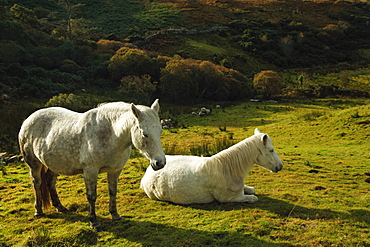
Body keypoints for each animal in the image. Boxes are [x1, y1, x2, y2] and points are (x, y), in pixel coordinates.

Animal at [18, 99, 166, 231]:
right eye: (144, 134)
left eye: (160, 131)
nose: (160, 163)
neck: (110, 134)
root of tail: (28, 120)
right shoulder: (90, 171)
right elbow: (91, 196)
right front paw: (94, 222)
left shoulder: (115, 170)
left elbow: (113, 192)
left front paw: (115, 215)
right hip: (34, 164)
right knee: (37, 184)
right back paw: (38, 211)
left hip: (54, 165)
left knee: (50, 182)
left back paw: (59, 206)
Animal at [140, 128, 282, 204]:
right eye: (271, 150)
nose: (280, 166)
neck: (227, 170)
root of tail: (149, 170)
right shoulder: (231, 198)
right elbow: (254, 197)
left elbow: (251, 190)